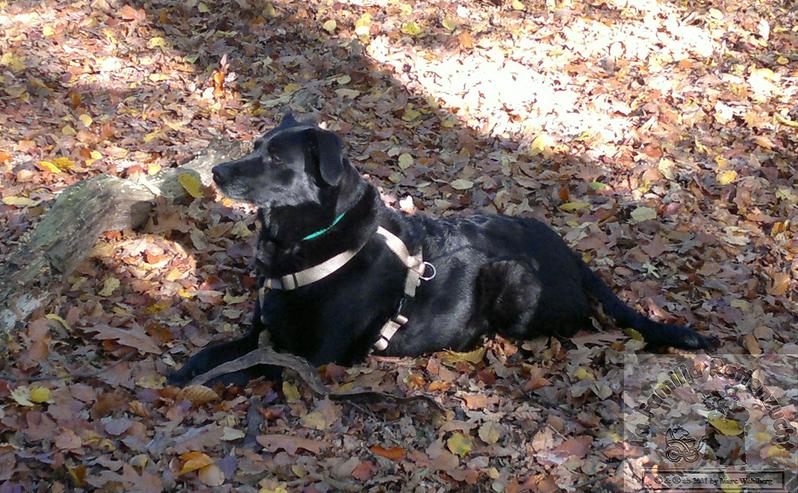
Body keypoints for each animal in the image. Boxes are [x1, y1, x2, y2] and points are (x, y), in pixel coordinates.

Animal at [169, 114, 720, 384]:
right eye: (254, 147)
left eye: (276, 159)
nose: (215, 172)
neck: (311, 240)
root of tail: (569, 252)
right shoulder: (263, 331)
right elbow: (218, 352)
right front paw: (184, 370)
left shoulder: (313, 356)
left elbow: (249, 367)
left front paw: (198, 384)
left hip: (514, 286)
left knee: (576, 323)